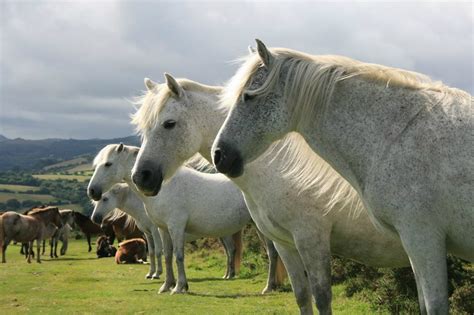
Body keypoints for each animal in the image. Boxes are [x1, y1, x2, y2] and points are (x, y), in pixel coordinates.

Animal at [130, 73, 412, 314]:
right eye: (144, 127)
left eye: (169, 124)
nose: (140, 176)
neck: (281, 165)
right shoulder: (286, 244)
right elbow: (302, 296)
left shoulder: (313, 241)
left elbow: (321, 298)